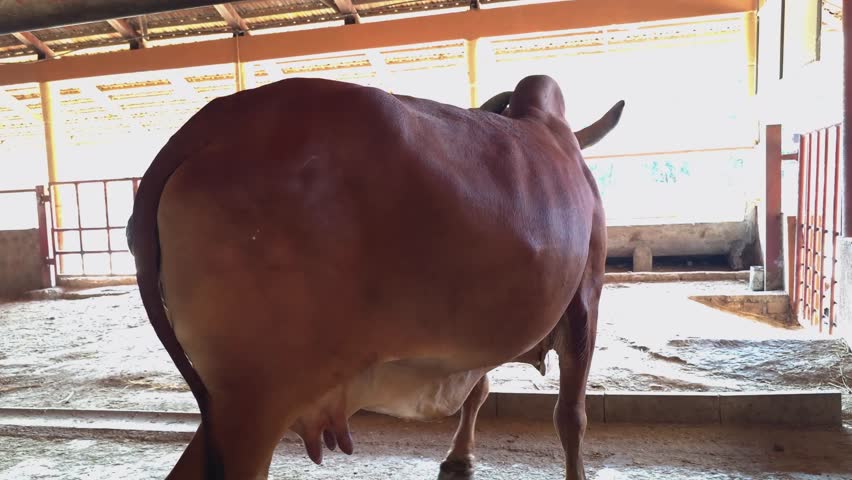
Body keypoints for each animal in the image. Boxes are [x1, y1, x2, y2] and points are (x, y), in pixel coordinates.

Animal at [128, 74, 624, 480]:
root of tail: (211, 123)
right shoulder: (586, 299)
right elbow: (570, 415)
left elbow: (478, 390)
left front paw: (459, 458)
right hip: (253, 403)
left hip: (233, 404)